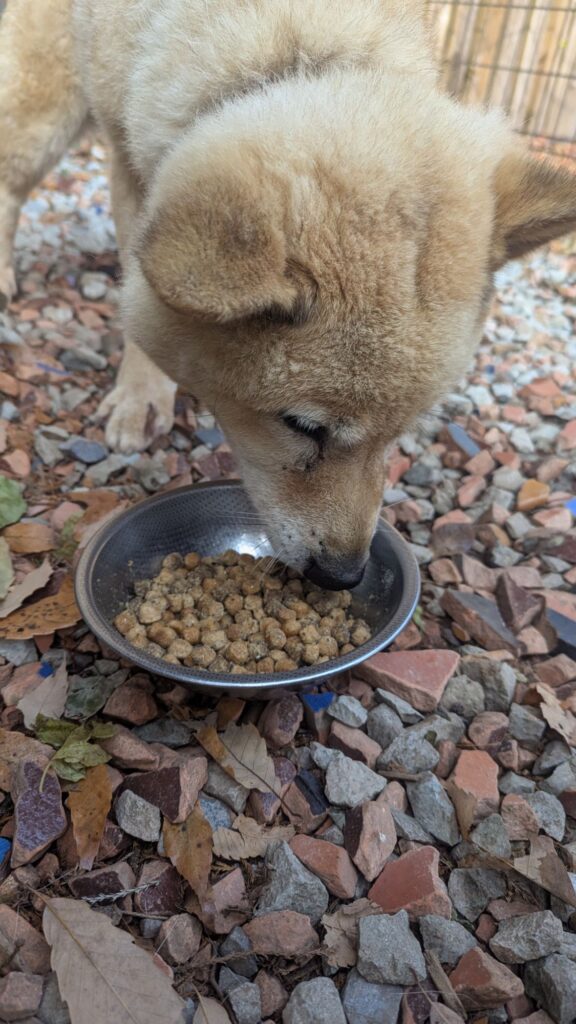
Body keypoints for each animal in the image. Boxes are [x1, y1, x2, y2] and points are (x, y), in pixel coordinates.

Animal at [1, 0, 575, 589]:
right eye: (302, 427)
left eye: (400, 433)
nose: (344, 575)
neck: (293, 45)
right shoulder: (127, 156)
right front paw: (141, 396)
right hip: (47, 111)